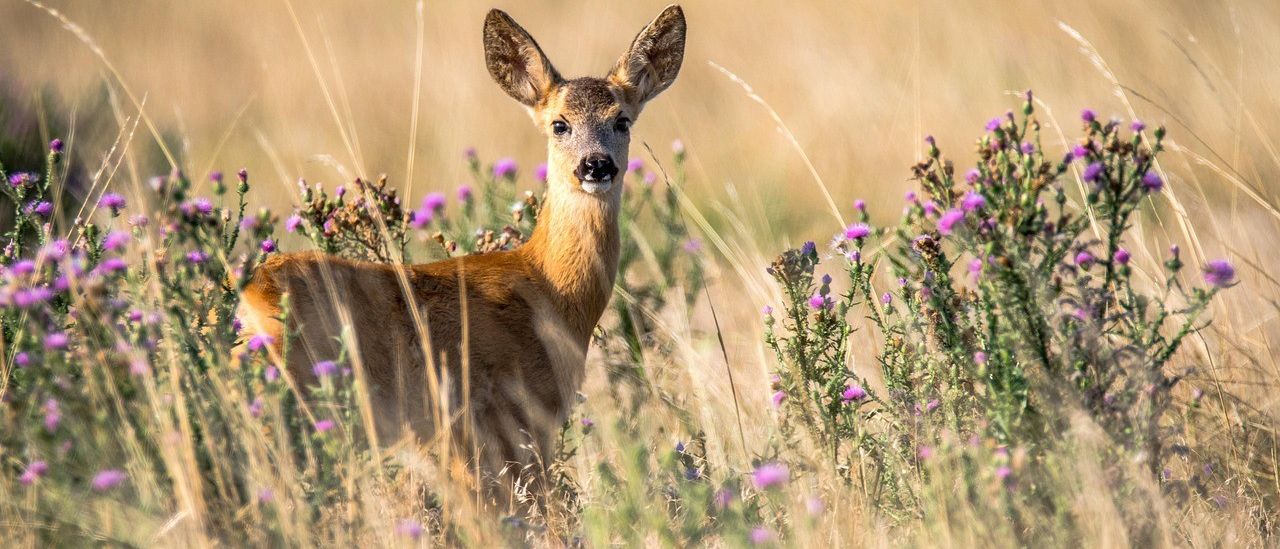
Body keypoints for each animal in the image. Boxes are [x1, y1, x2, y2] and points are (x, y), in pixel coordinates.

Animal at [237, 5, 686, 501]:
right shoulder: (509, 420)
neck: (550, 290)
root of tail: (252, 295)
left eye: (622, 120)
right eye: (559, 124)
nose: (596, 165)